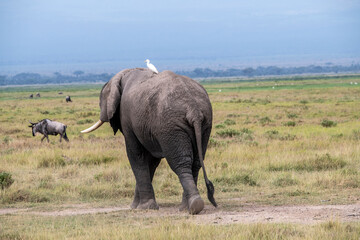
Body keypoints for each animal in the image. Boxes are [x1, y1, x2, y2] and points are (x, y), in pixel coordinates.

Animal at [82, 67, 217, 214]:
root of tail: (193, 109)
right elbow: (151, 161)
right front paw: (136, 206)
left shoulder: (127, 120)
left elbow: (136, 155)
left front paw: (144, 207)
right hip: (204, 124)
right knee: (196, 163)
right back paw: (188, 207)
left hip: (170, 127)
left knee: (180, 163)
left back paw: (193, 206)